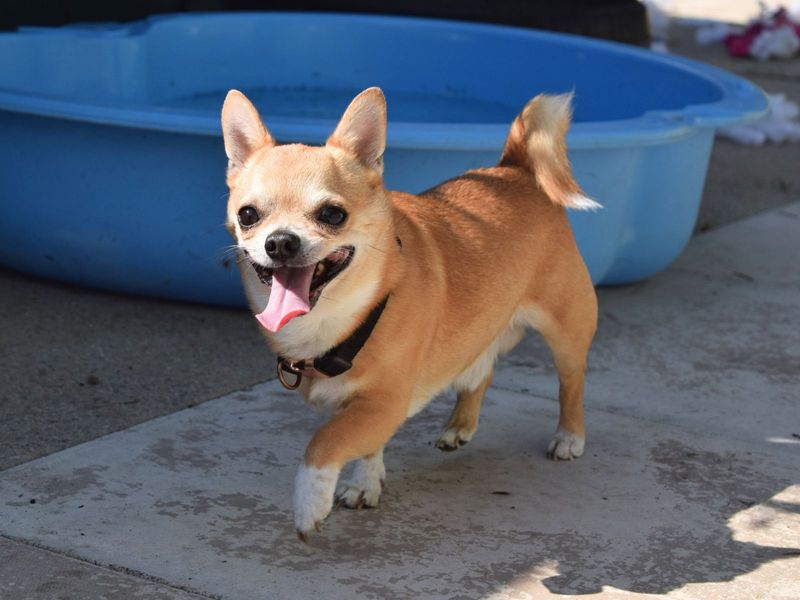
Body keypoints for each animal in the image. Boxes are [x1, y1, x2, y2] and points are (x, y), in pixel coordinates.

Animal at [222, 86, 596, 540]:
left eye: (332, 214)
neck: (344, 314)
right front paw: (366, 484)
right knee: (481, 370)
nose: (279, 242)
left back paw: (569, 437)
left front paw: (310, 502)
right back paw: (459, 426)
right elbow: (367, 447)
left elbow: (325, 442)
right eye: (248, 215)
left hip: (567, 328)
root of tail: (514, 169)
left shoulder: (383, 403)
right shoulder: (369, 408)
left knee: (570, 382)